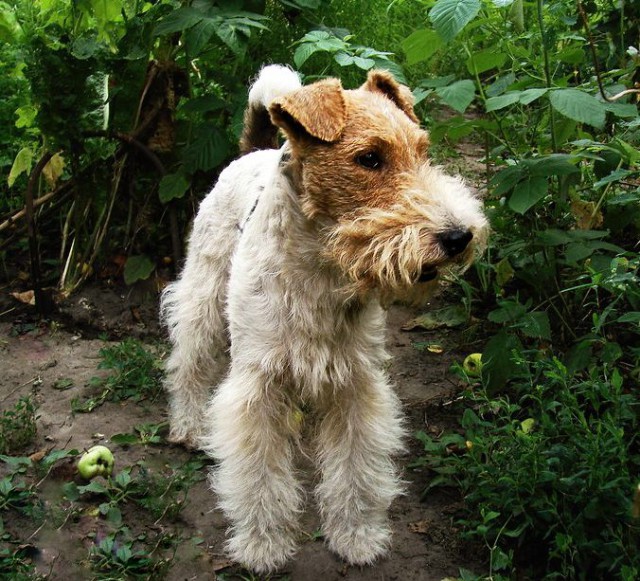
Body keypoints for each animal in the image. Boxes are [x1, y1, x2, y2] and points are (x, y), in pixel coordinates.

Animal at [162, 65, 488, 572]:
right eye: (369, 158)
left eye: (423, 150)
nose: (459, 236)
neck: (323, 269)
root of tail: (250, 153)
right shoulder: (257, 384)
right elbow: (260, 476)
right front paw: (262, 545)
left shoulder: (356, 382)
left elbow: (357, 468)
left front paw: (357, 536)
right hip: (204, 294)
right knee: (189, 363)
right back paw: (189, 426)